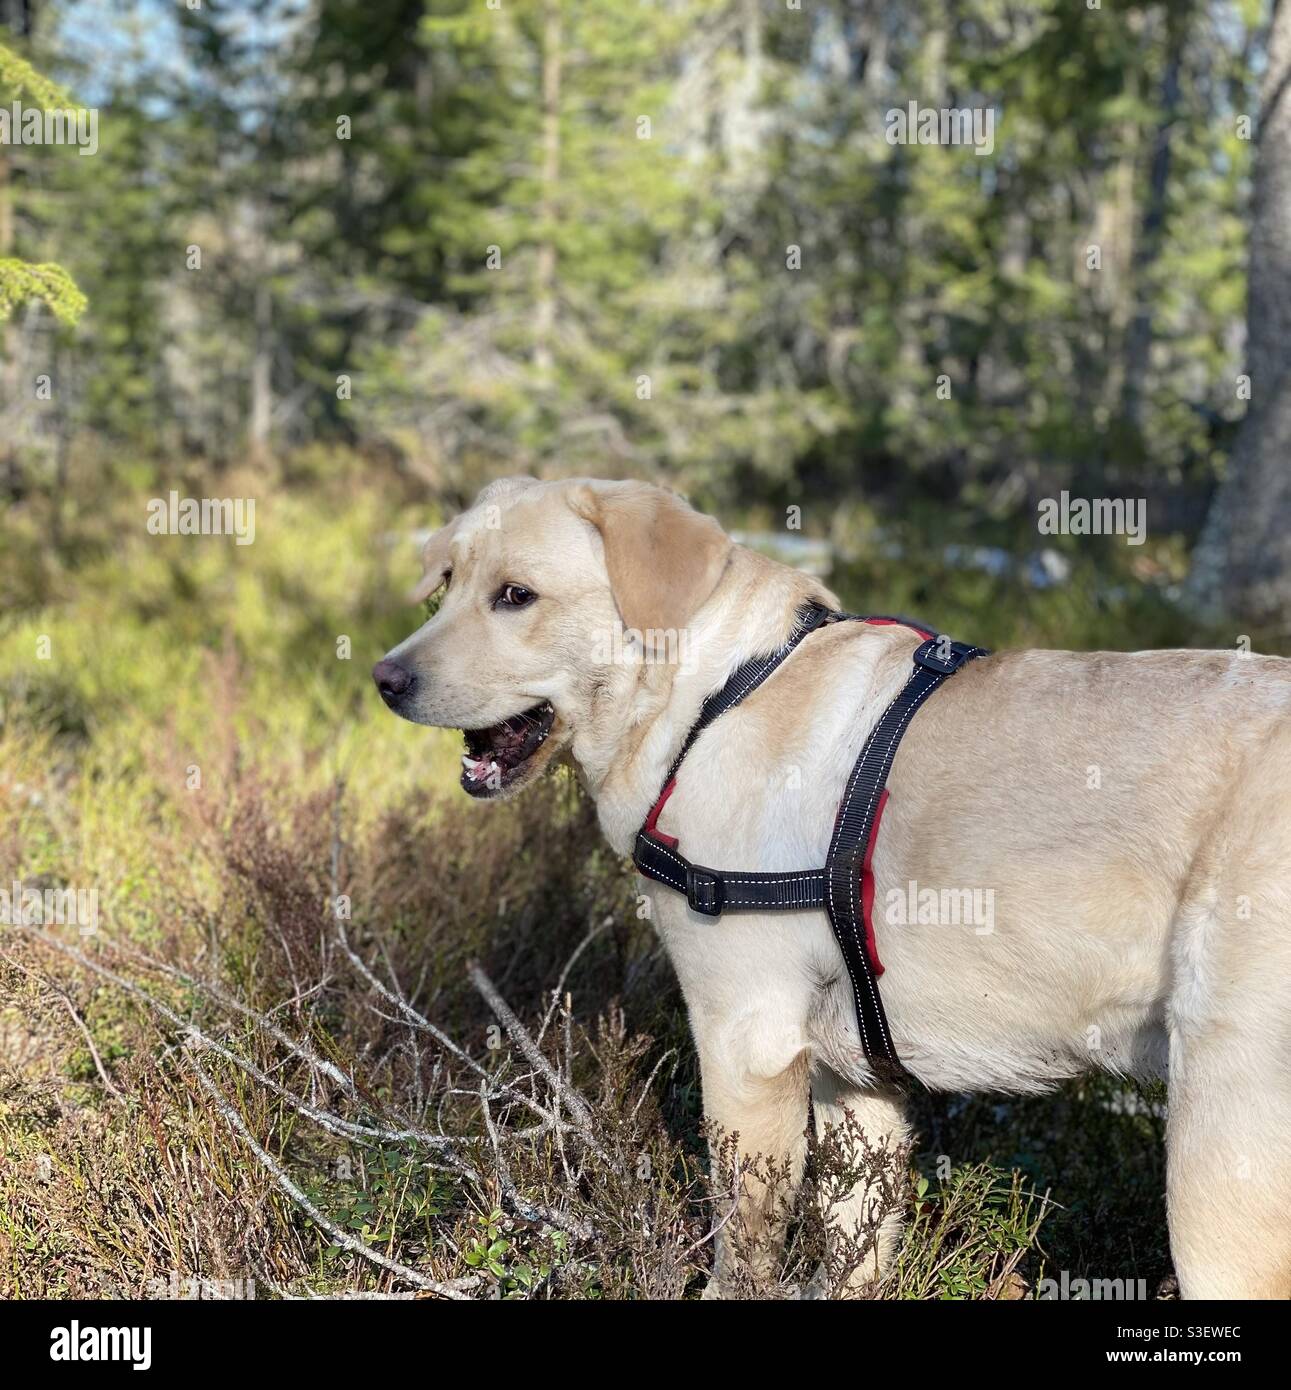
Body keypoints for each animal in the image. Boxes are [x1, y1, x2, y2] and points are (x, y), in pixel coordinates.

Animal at [372, 478, 1289, 1301]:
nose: (383, 679)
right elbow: (852, 1246)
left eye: (515, 596)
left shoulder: (746, 1041)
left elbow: (742, 1249)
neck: (714, 699)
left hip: (1217, 1155)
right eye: (446, 583)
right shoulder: (855, 1083)